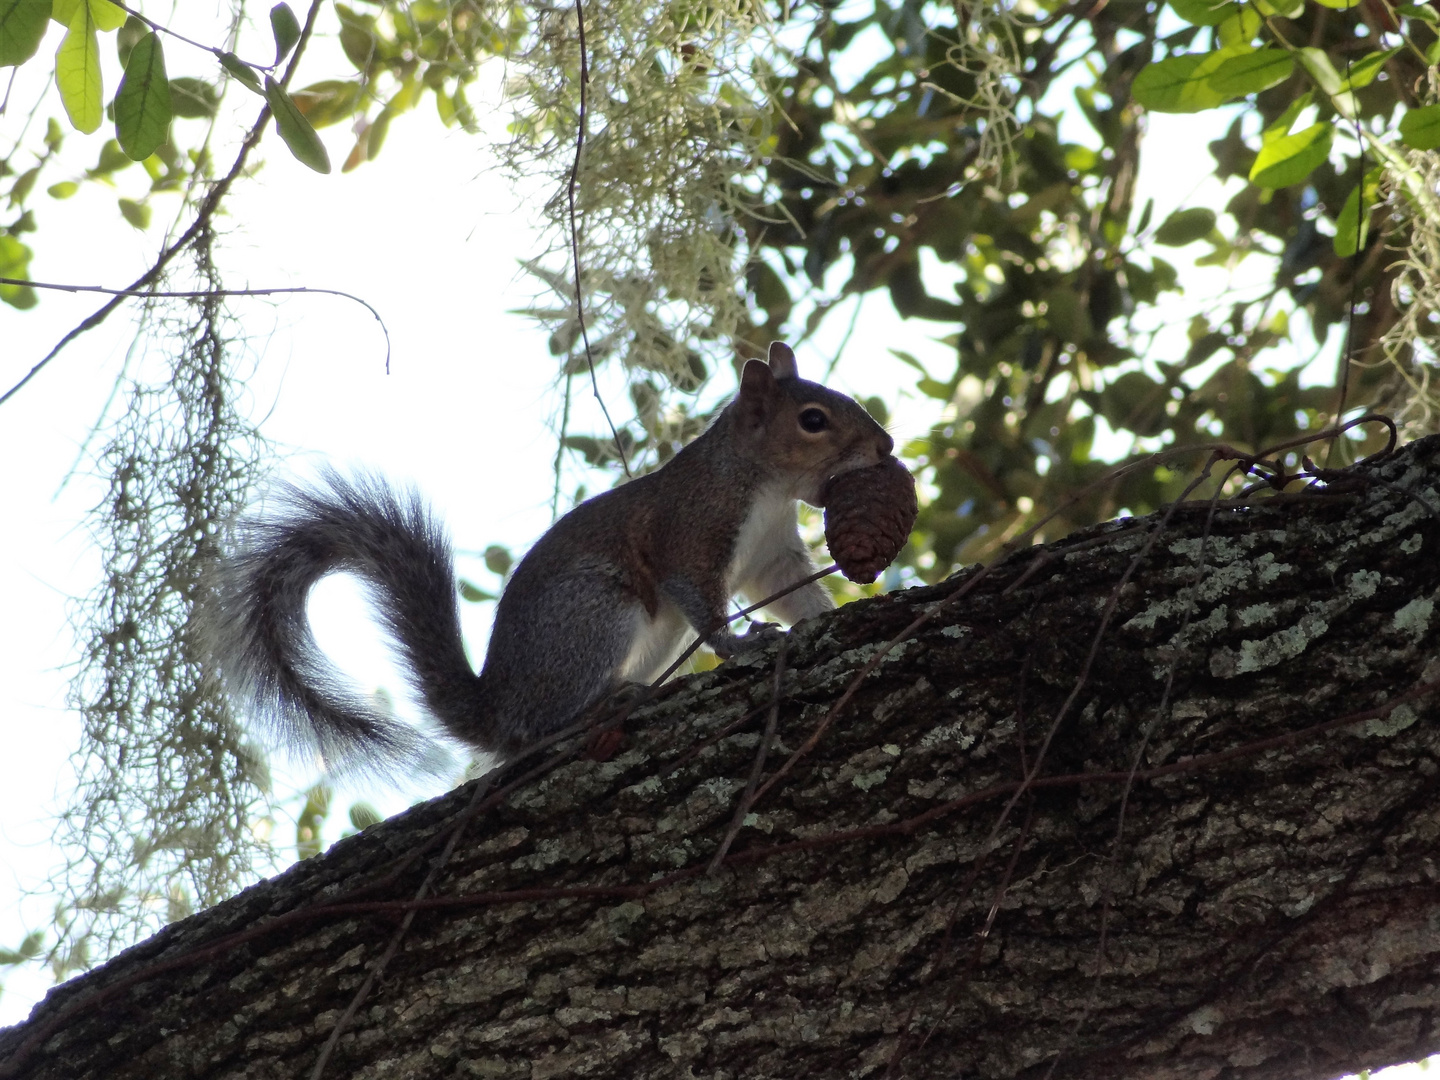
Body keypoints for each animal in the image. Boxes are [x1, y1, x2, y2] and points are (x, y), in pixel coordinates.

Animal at [208, 342, 892, 771]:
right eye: (812, 420)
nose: (885, 446)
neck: (765, 487)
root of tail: (496, 708)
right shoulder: (692, 531)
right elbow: (699, 598)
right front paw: (741, 644)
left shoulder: (773, 556)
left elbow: (796, 593)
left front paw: (827, 616)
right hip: (596, 611)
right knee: (540, 732)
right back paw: (600, 705)